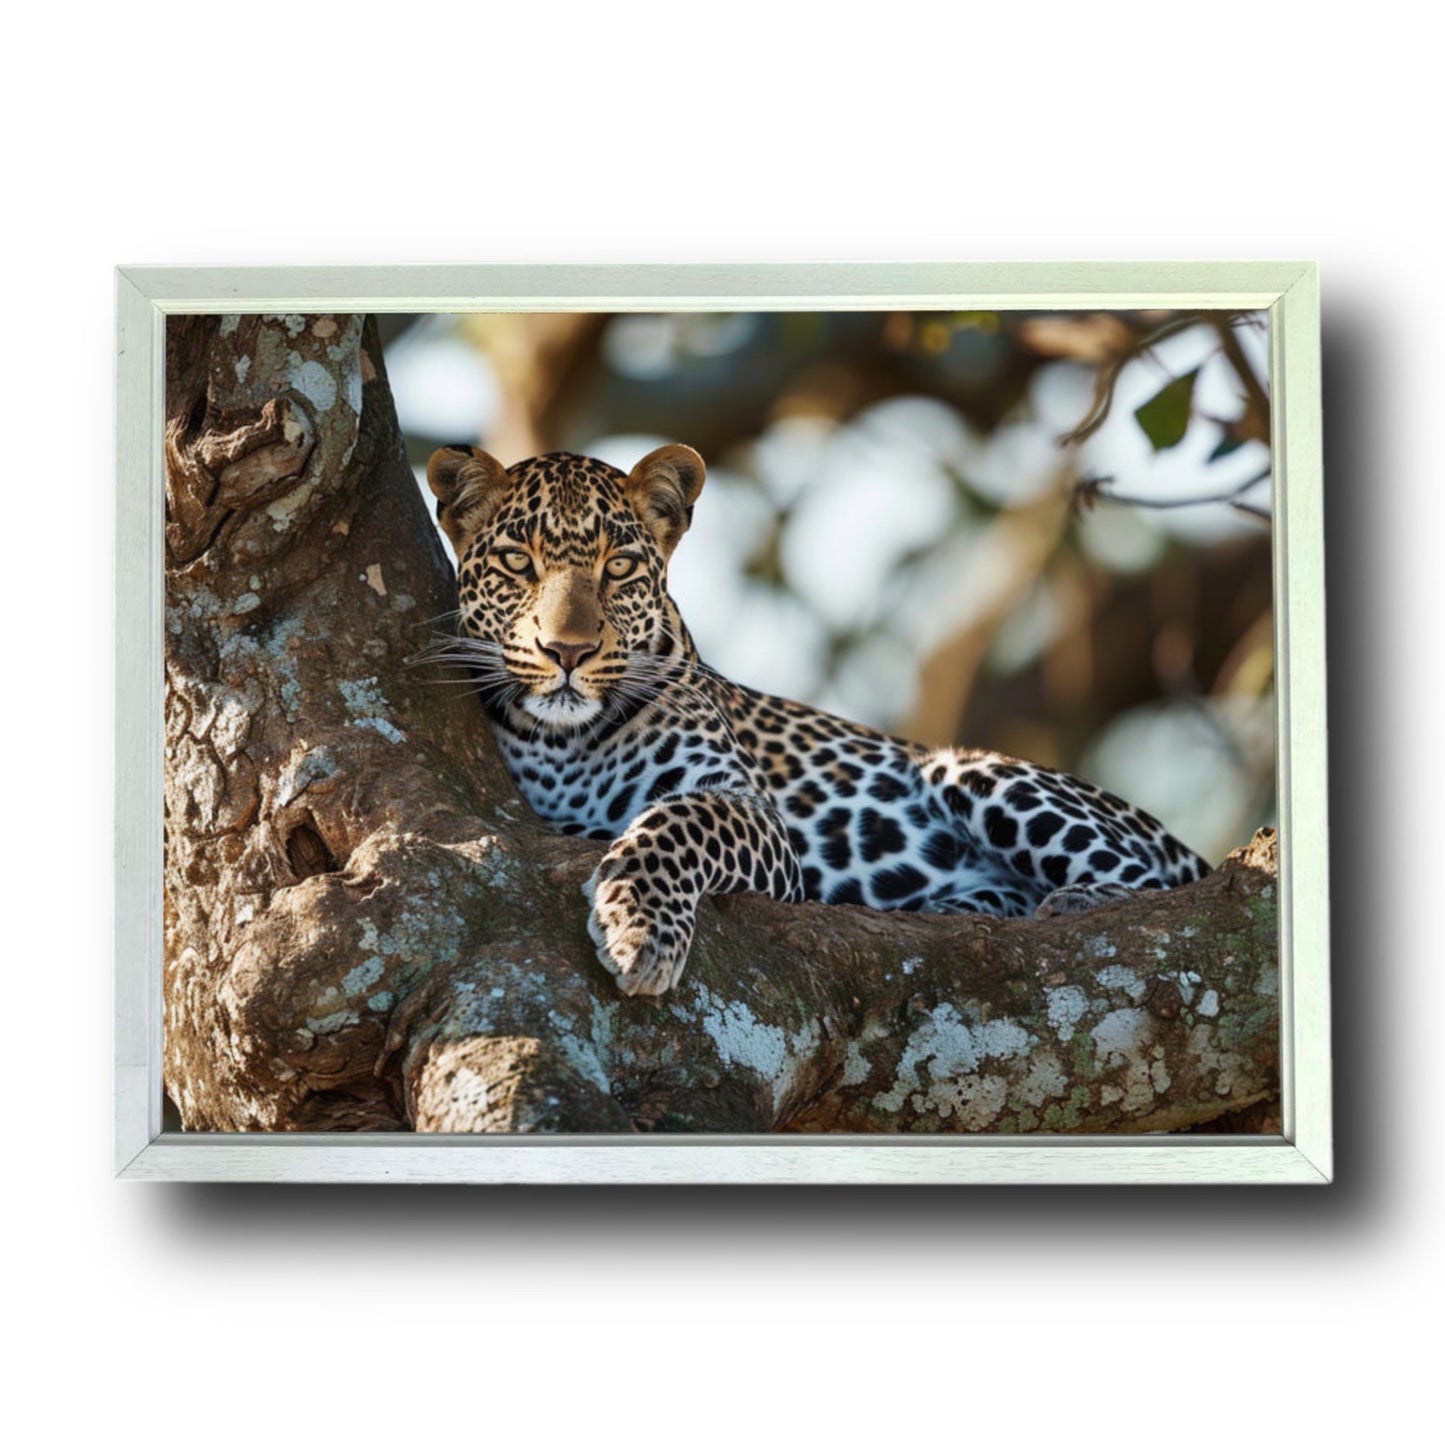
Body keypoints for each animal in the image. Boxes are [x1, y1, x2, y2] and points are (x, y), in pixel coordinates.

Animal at [421, 445, 1208, 999]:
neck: (564, 741)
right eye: (518, 563)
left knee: (1154, 889)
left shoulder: (750, 810)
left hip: (973, 770)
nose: (568, 651)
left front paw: (638, 929)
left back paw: (1074, 897)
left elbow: (674, 821)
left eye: (617, 568)